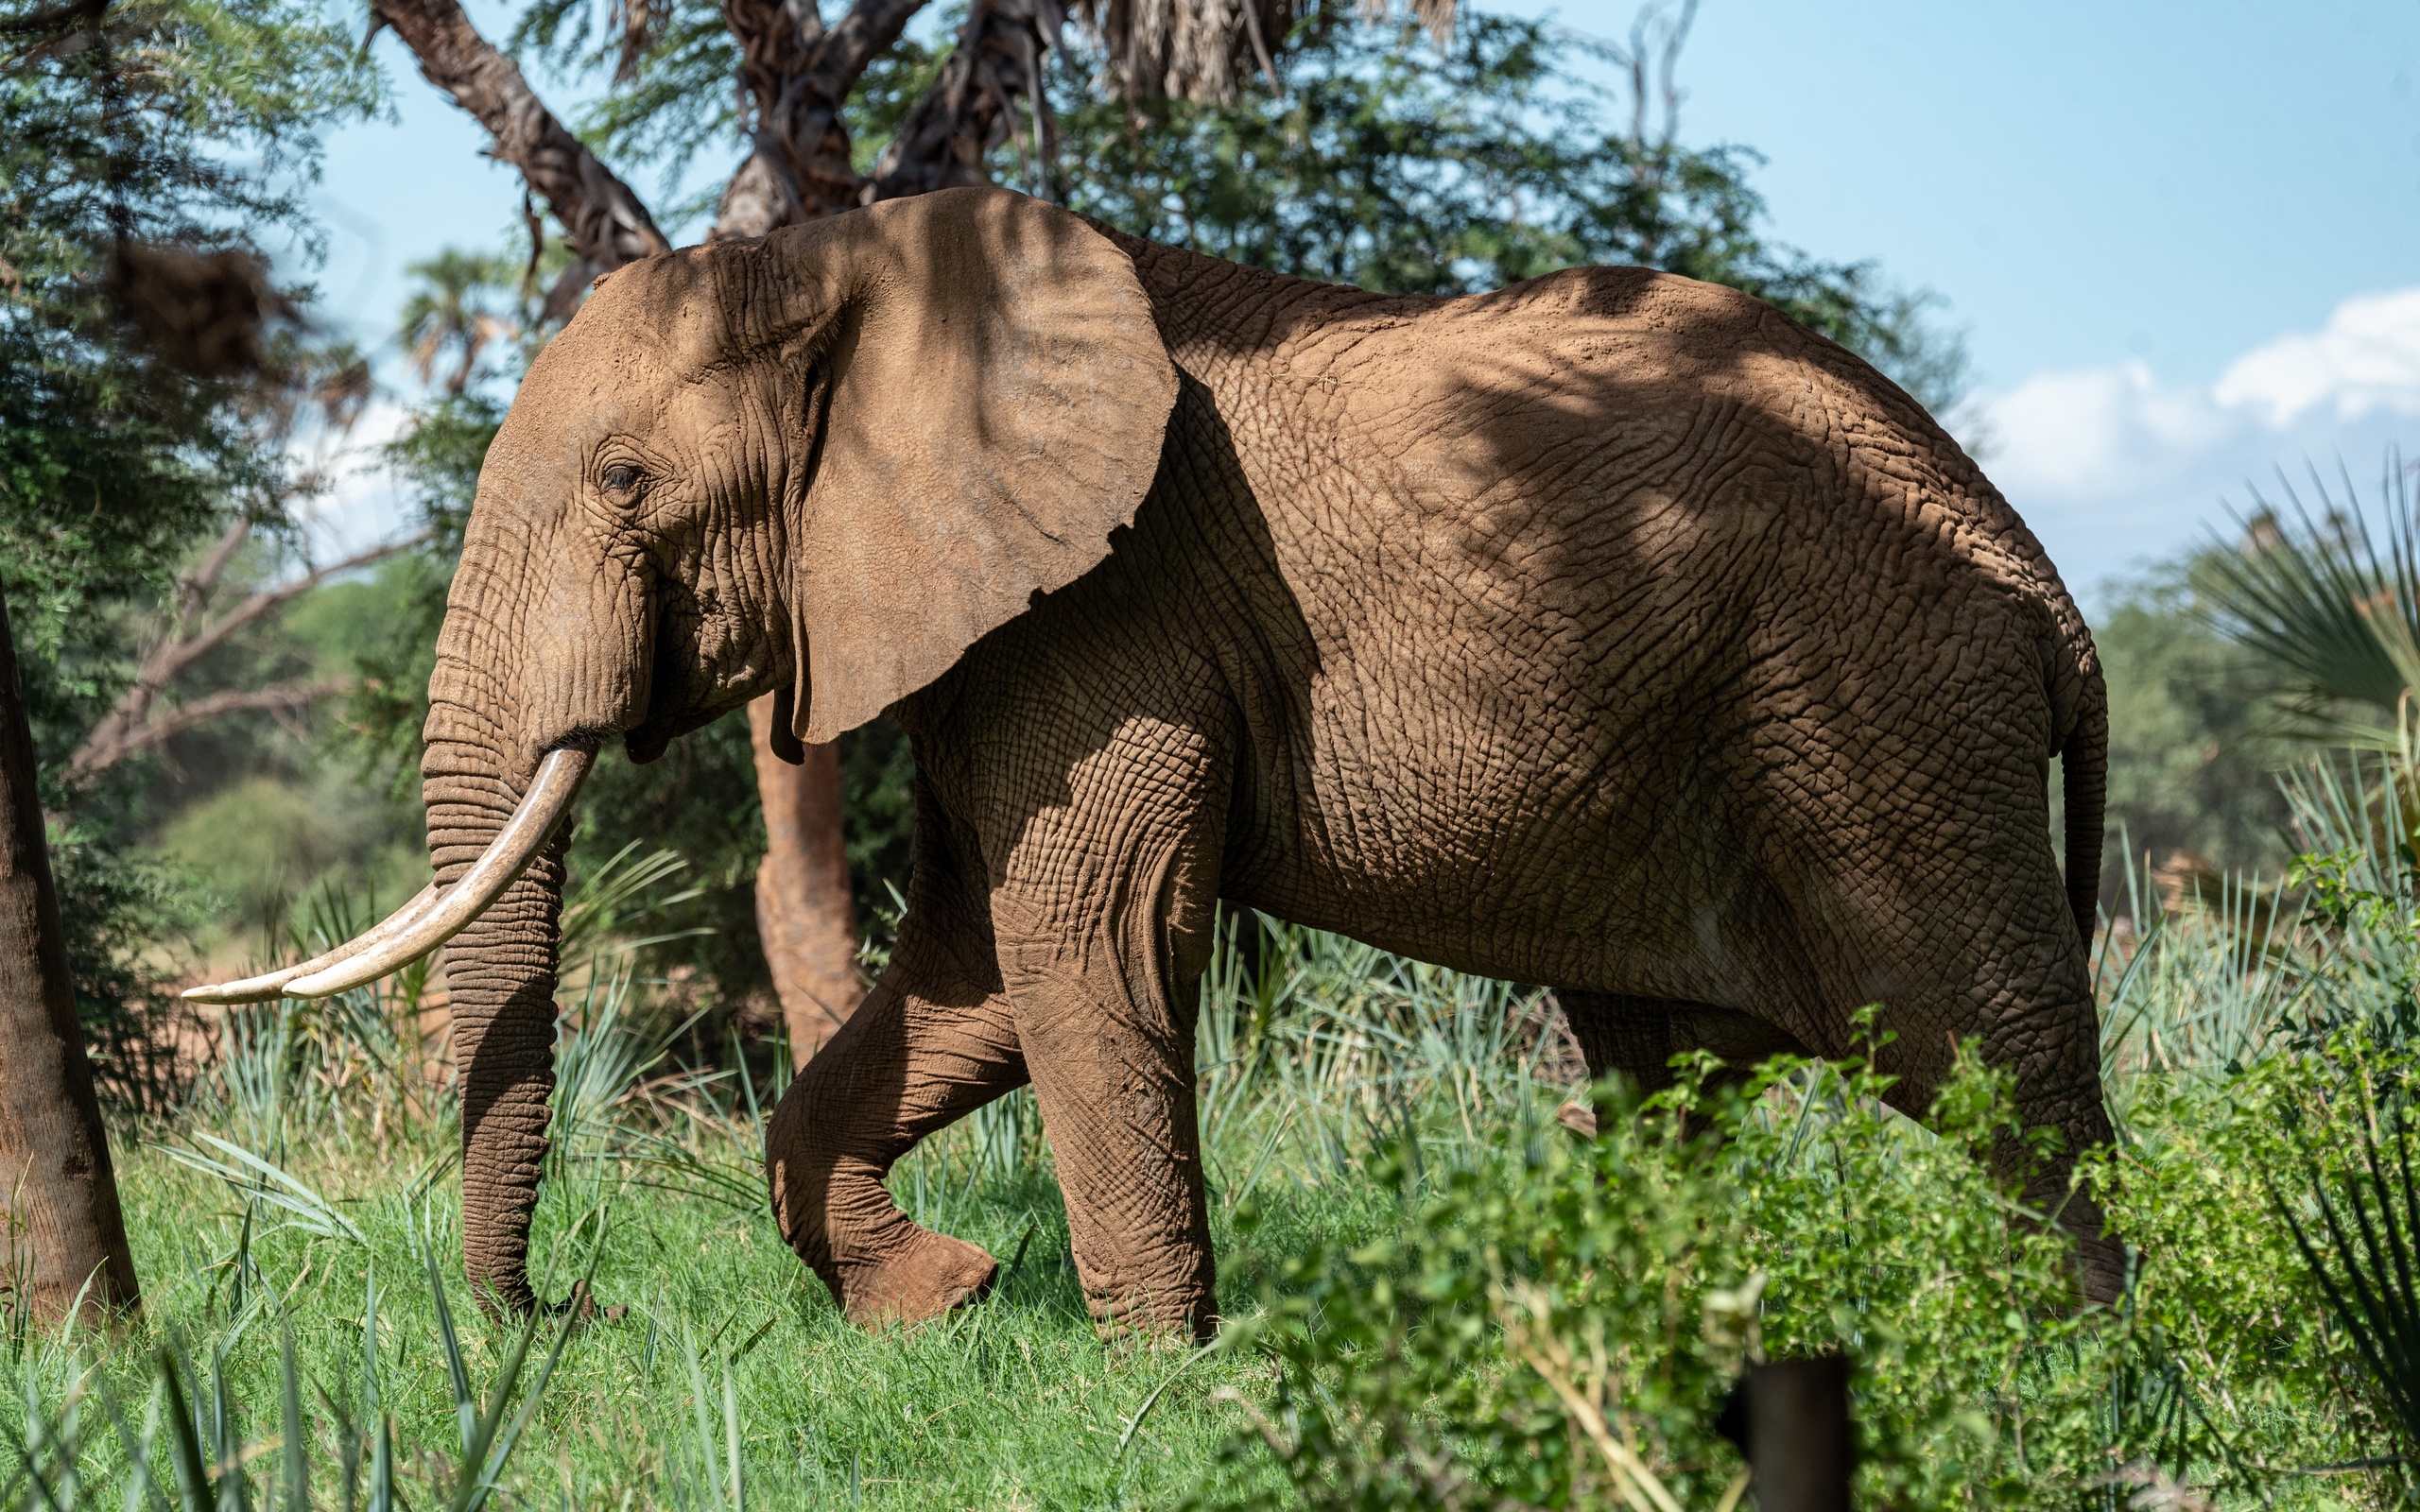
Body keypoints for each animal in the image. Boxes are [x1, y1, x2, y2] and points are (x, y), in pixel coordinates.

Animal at [193, 182, 2119, 1325]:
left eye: (621, 483)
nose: (563, 1316)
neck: (856, 260)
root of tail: (2048, 586)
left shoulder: (1114, 605)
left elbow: (1085, 938)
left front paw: (1154, 1386)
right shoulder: (1000, 617)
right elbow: (969, 969)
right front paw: (944, 1300)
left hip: (1882, 711)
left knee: (1998, 1066)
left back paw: (2081, 1370)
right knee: (1674, 1075)